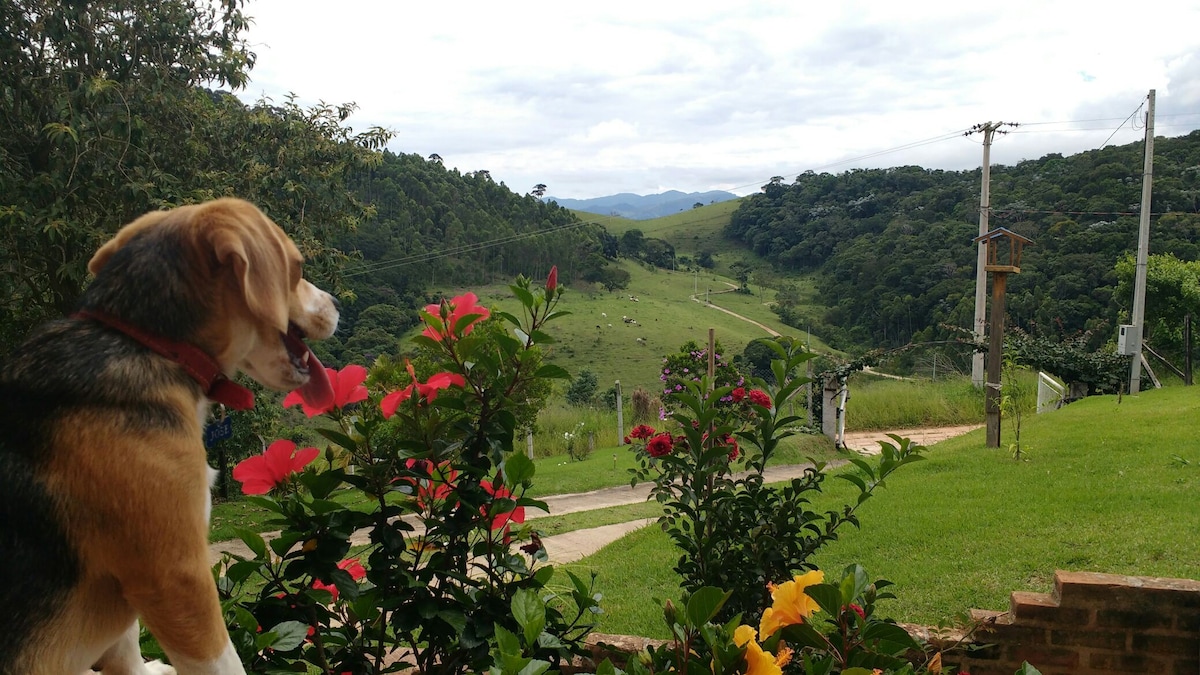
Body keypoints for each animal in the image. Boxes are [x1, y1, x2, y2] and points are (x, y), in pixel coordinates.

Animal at [0, 196, 340, 667]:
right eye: (298, 265)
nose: (336, 303)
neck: (148, 343)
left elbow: (126, 651)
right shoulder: (177, 578)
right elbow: (223, 661)